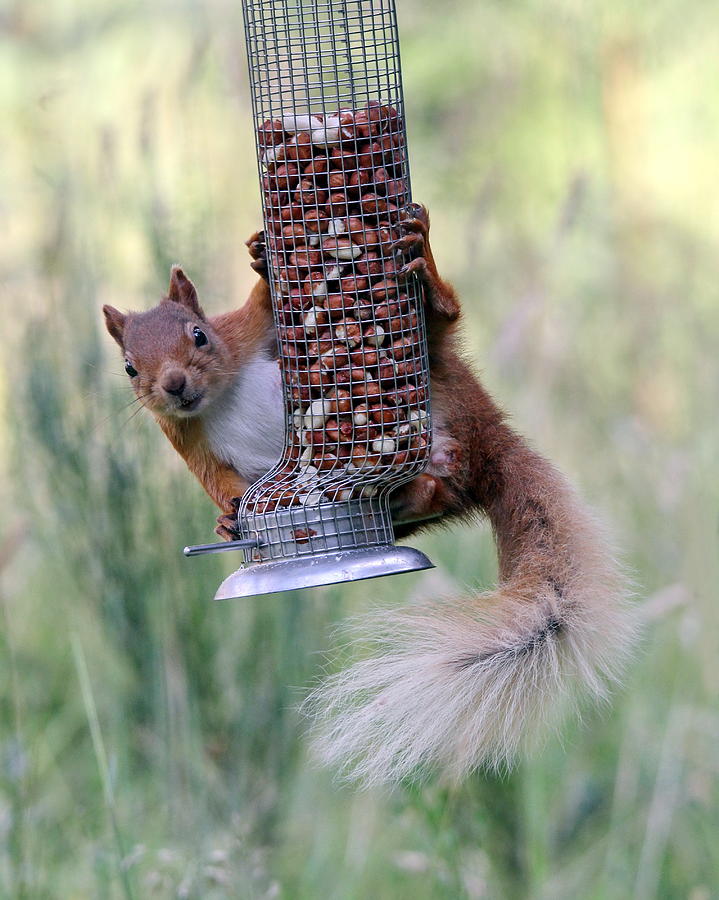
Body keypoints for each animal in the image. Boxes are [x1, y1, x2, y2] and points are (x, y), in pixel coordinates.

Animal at [102, 204, 636, 780]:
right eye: (130, 368)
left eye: (199, 335)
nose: (174, 385)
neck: (217, 396)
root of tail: (486, 438)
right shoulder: (188, 443)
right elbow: (221, 485)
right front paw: (228, 521)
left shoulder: (246, 336)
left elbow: (263, 310)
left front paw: (261, 259)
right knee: (434, 493)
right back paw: (405, 494)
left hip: (438, 371)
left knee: (444, 321)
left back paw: (424, 262)